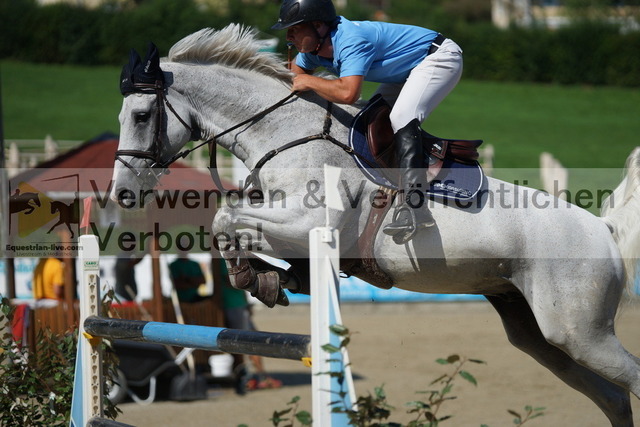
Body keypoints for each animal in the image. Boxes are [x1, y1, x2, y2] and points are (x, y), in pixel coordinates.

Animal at [112, 25, 640, 426]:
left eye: (140, 114)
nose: (121, 193)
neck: (284, 134)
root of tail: (604, 230)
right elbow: (233, 220)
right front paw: (270, 278)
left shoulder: (309, 220)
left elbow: (227, 215)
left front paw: (253, 276)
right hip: (540, 334)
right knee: (613, 396)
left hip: (578, 331)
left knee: (628, 378)